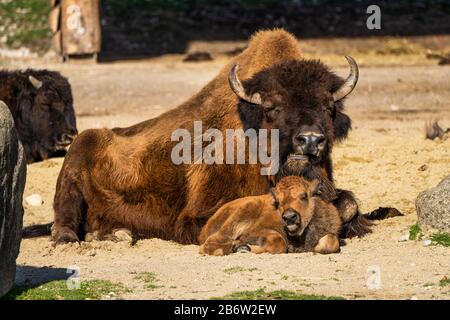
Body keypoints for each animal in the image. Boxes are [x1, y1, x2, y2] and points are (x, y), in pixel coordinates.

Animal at [23, 30, 380, 245]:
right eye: (272, 107)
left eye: (329, 106)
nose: (310, 140)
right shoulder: (196, 215)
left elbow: (347, 204)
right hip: (73, 165)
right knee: (63, 219)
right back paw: (76, 239)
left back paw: (121, 233)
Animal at [198, 175, 342, 255]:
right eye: (278, 202)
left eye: (304, 196)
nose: (289, 217)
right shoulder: (256, 231)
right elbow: (279, 242)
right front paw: (243, 247)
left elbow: (331, 242)